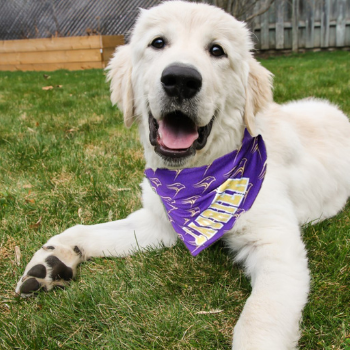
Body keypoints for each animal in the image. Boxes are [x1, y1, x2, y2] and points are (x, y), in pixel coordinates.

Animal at [15, 1, 350, 348]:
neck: (196, 176)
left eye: (217, 50)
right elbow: (87, 230)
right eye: (158, 42)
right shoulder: (160, 222)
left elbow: (259, 317)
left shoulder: (275, 243)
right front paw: (53, 259)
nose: (180, 79)